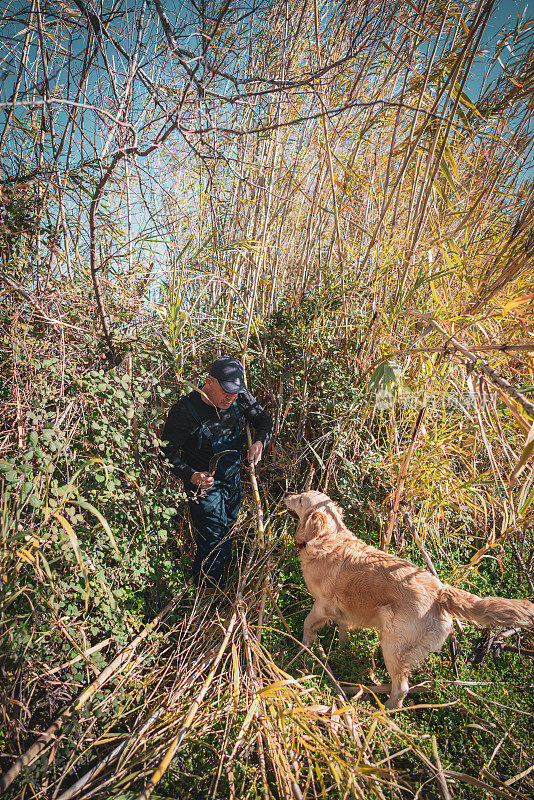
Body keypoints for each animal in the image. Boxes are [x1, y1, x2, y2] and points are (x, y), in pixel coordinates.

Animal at [284, 490, 534, 708]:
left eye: (301, 499)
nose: (286, 494)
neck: (326, 537)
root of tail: (441, 591)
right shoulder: (343, 609)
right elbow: (343, 629)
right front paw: (340, 650)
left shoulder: (322, 604)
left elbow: (307, 625)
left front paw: (303, 648)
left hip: (393, 643)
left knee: (402, 687)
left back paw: (386, 710)